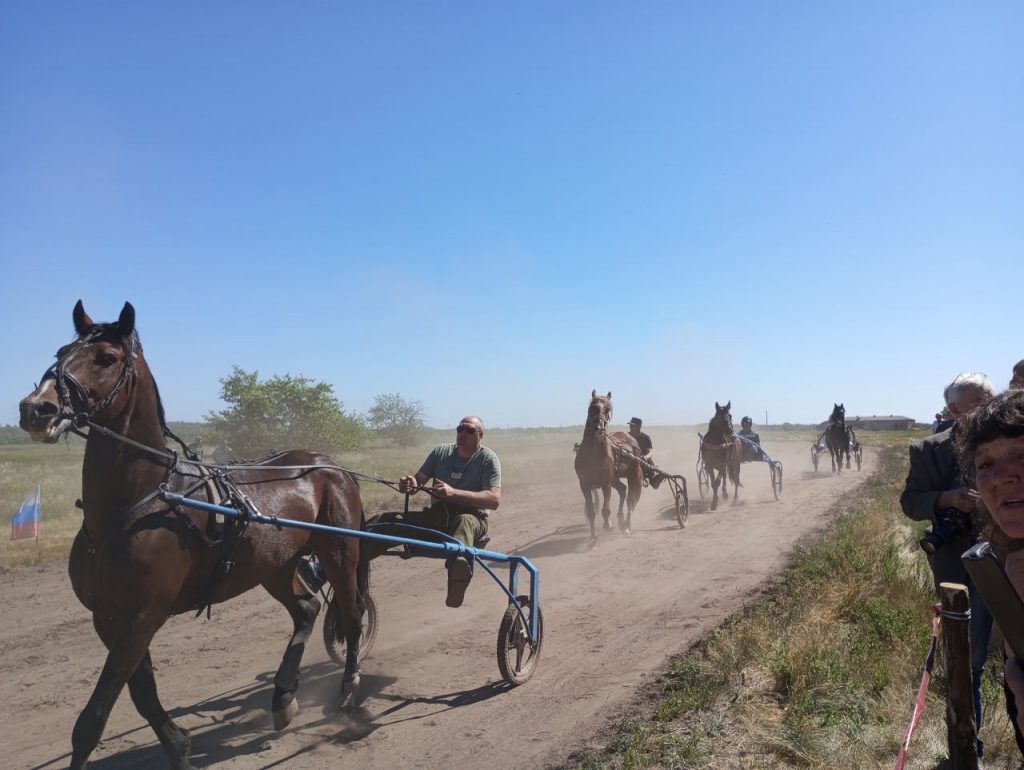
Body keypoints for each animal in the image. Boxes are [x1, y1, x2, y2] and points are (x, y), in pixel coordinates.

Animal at [18, 298, 368, 770]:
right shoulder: (110, 619)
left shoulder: (142, 616)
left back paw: (348, 690)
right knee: (307, 609)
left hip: (340, 553)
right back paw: (282, 697)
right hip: (273, 565)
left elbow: (93, 719)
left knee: (351, 616)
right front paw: (179, 745)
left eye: (106, 357)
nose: (37, 408)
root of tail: (330, 465)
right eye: (60, 353)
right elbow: (143, 694)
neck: (135, 503)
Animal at [573, 391, 643, 536]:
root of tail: (631, 439)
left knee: (630, 499)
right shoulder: (584, 485)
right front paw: (592, 536)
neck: (593, 454)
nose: (599, 429)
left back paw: (627, 526)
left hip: (632, 475)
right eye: (592, 407)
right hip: (615, 478)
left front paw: (608, 525)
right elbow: (591, 512)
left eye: (608, 409)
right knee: (622, 490)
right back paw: (621, 520)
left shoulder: (606, 484)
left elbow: (606, 510)